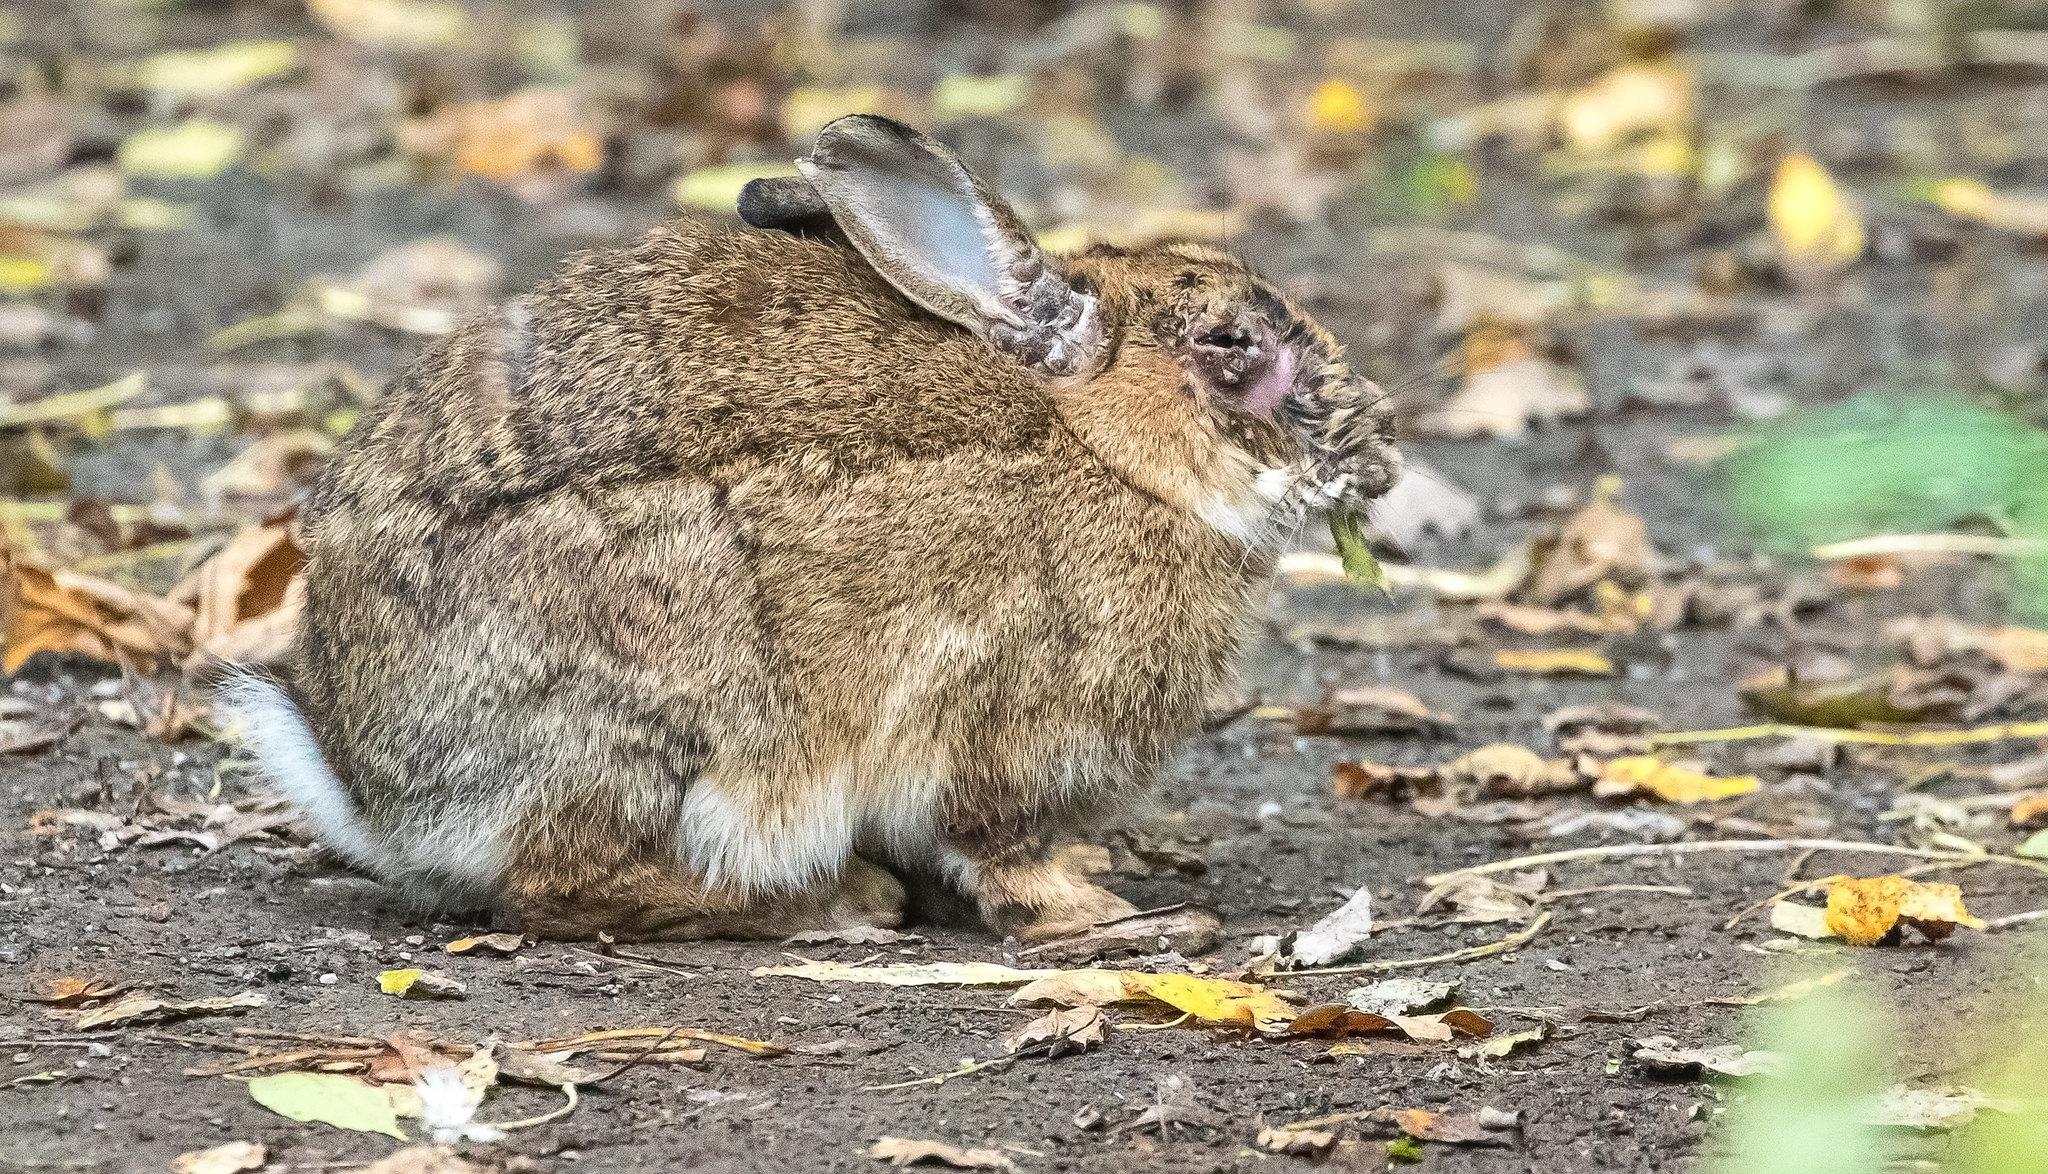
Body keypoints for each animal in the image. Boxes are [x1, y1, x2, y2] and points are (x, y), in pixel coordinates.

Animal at [222, 115, 1399, 943]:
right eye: (1231, 344)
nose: (1380, 452)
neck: (1102, 448)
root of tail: (371, 786)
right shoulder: (1002, 721)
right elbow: (1001, 847)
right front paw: (1111, 917)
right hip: (671, 704)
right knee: (557, 886)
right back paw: (837, 901)